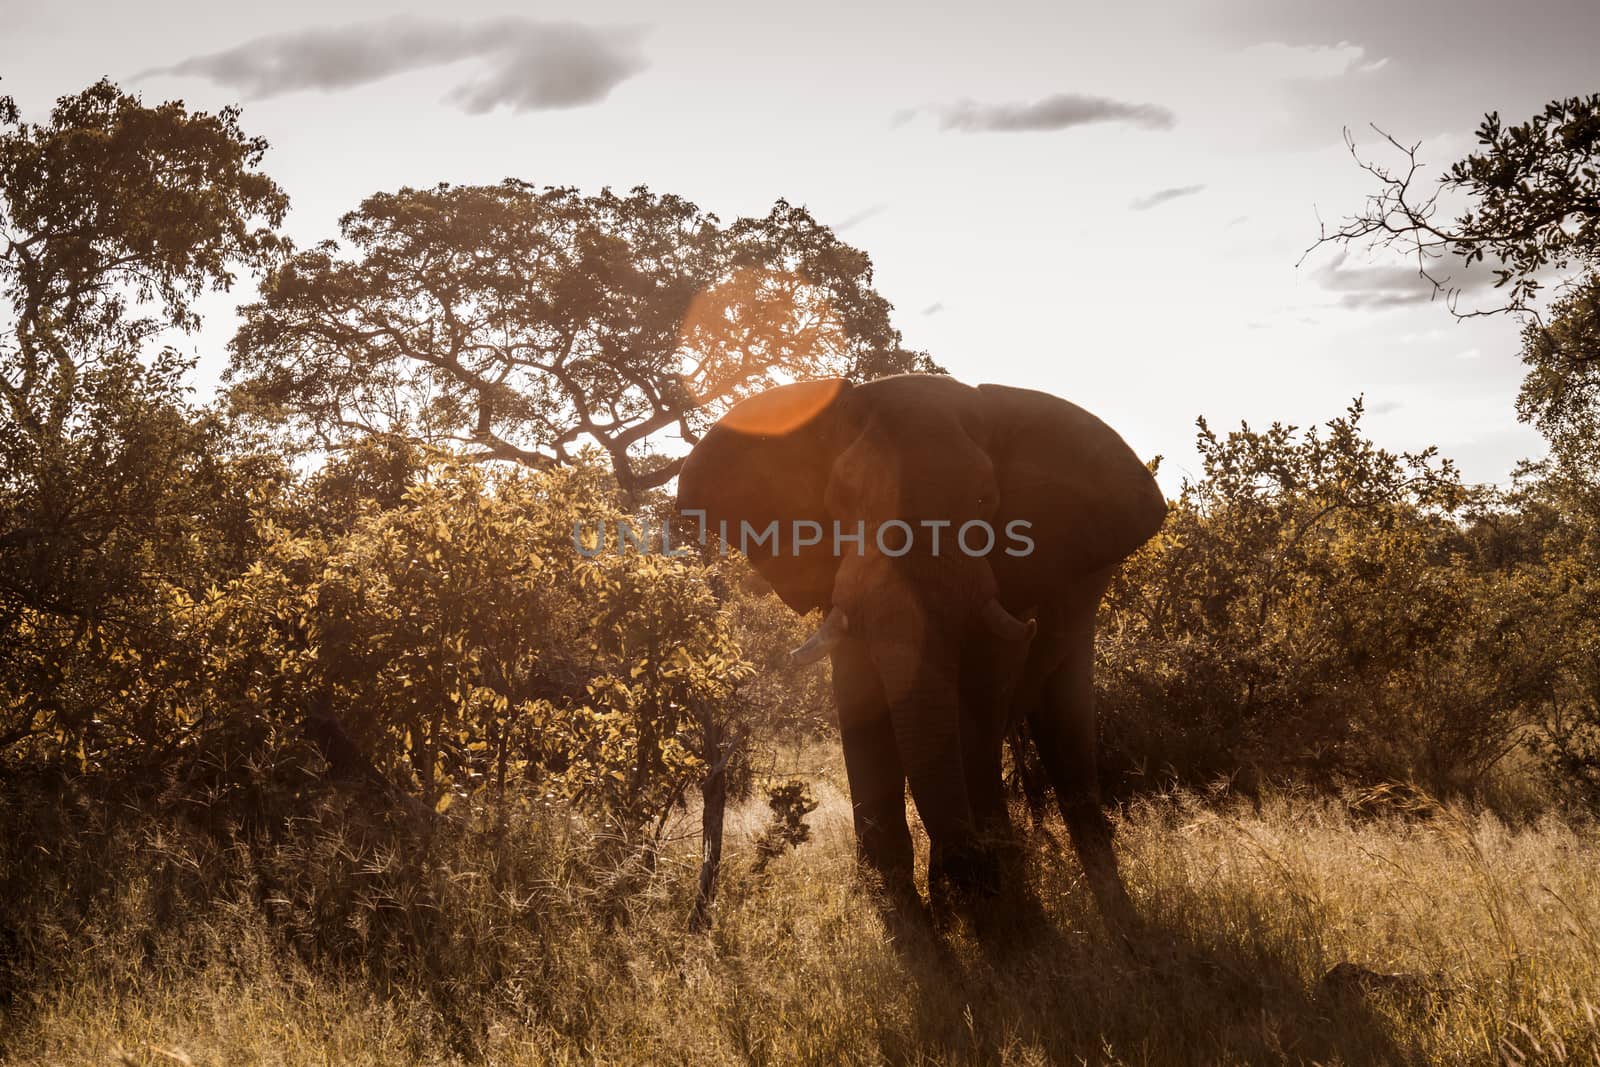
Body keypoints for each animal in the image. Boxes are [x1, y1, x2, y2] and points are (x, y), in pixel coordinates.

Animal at [672, 371, 1164, 921]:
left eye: (984, 503)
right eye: (841, 501)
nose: (965, 870)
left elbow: (980, 701)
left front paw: (991, 898)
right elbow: (860, 697)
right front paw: (902, 907)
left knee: (1065, 726)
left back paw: (1118, 919)